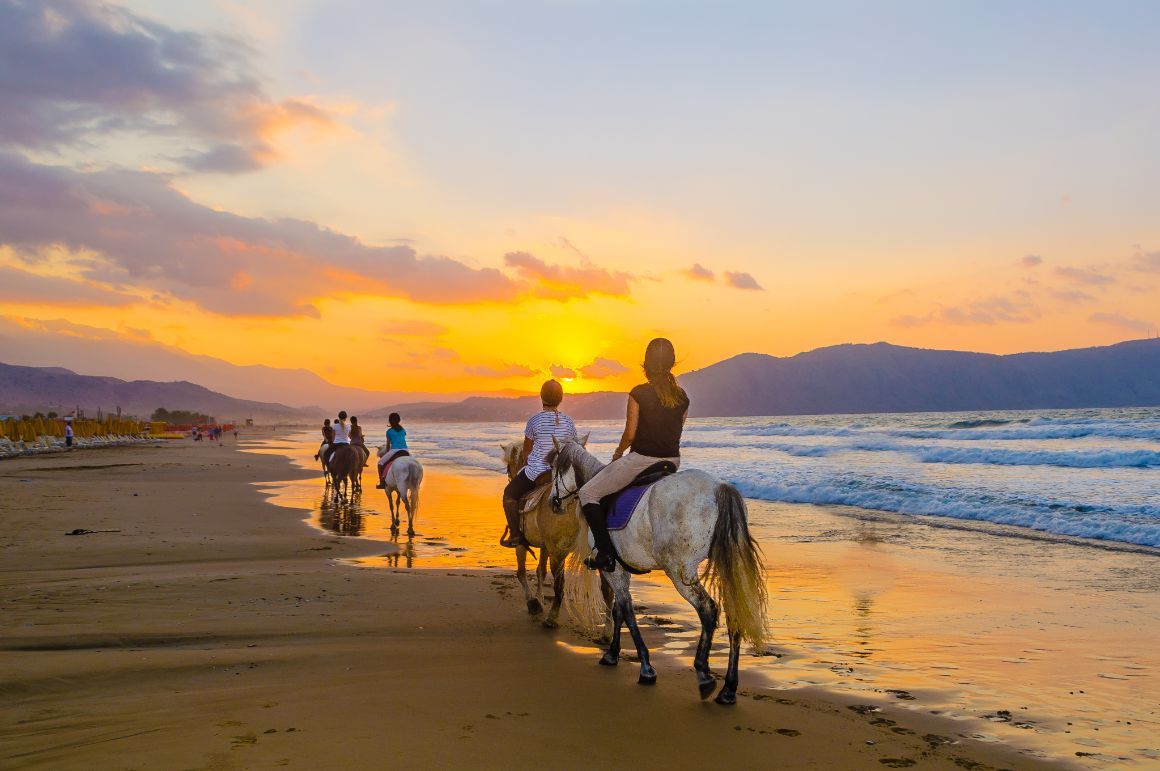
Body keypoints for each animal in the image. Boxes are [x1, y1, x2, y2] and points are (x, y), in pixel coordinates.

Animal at [552, 438, 770, 704]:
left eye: (553, 469)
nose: (554, 502)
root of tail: (719, 487)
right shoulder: (621, 570)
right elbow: (618, 610)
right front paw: (612, 654)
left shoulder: (613, 570)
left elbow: (626, 612)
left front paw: (645, 667)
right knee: (734, 613)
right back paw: (728, 689)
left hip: (679, 572)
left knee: (708, 610)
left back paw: (704, 674)